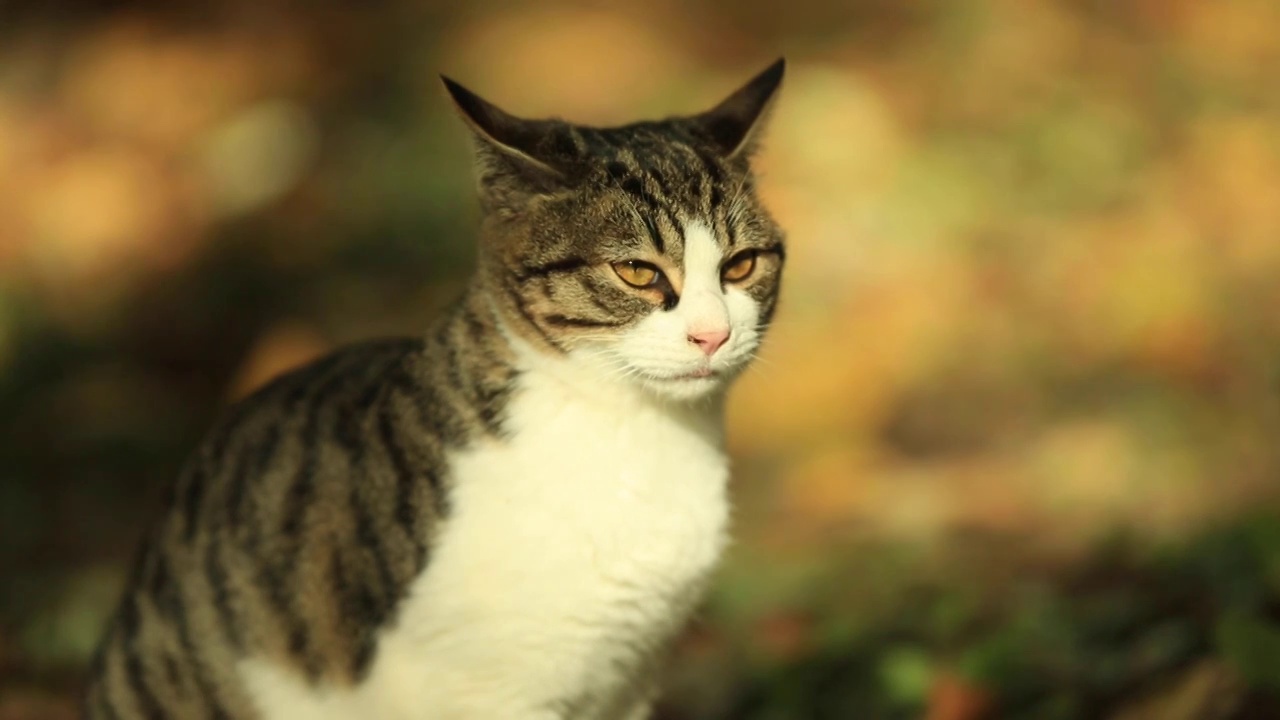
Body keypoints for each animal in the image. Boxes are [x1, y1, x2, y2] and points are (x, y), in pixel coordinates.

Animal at [85, 57, 783, 717]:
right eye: (637, 271)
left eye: (741, 265)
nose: (712, 335)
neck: (634, 436)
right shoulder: (488, 689)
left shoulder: (629, 679)